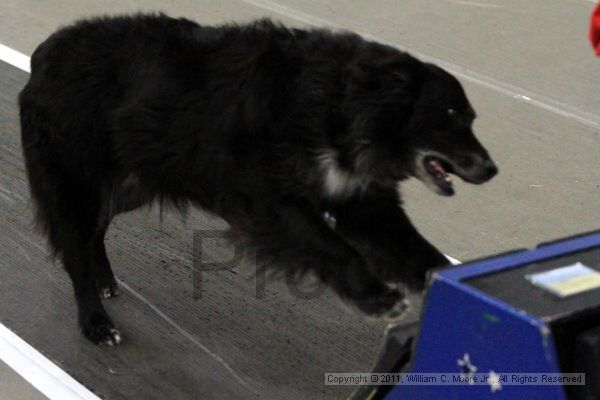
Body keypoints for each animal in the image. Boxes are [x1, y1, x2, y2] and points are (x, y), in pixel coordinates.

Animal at [18, 14, 496, 346]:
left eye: (471, 118)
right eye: (450, 115)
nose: (491, 169)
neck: (341, 104)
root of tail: (43, 54)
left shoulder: (360, 199)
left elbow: (415, 249)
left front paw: (459, 285)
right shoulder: (268, 198)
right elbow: (334, 249)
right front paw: (381, 299)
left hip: (134, 177)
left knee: (93, 231)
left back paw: (104, 280)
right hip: (76, 177)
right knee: (75, 245)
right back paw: (96, 323)